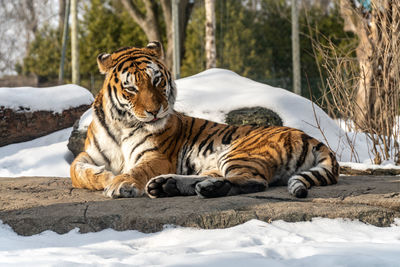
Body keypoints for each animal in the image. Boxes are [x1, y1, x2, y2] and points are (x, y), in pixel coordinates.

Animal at [71, 42, 338, 200]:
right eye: (131, 88)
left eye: (157, 80)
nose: (155, 111)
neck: (122, 125)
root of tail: (312, 138)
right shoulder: (89, 155)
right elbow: (77, 170)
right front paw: (106, 177)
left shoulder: (156, 156)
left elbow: (137, 169)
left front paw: (120, 182)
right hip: (218, 161)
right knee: (214, 176)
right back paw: (167, 185)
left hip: (239, 152)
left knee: (255, 181)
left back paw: (208, 189)